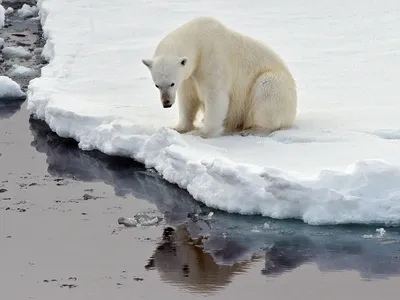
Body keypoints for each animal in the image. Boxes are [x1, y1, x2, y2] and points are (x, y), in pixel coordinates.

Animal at [142, 16, 296, 138]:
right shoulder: (189, 76)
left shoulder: (212, 58)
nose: (166, 103)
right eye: (157, 85)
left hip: (277, 85)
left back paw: (253, 130)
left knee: (267, 90)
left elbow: (215, 95)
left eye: (172, 83)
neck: (197, 38)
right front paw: (177, 128)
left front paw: (201, 133)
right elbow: (188, 98)